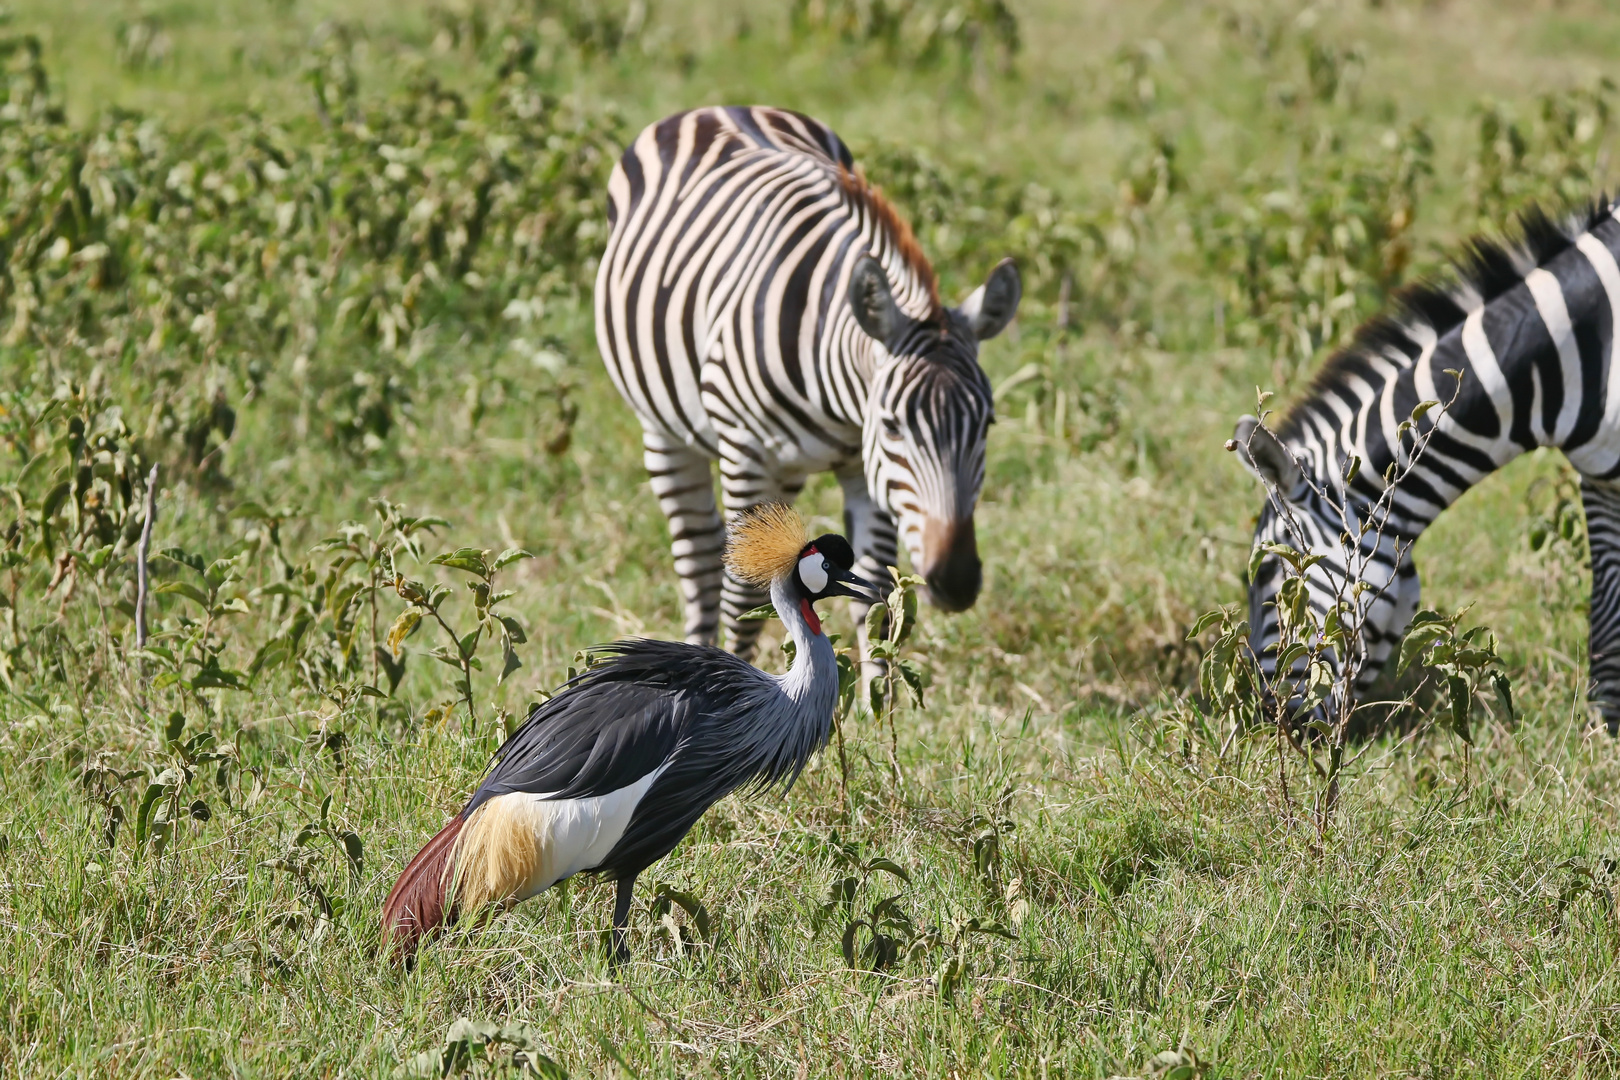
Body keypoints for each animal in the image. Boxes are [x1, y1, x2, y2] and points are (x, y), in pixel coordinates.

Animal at [596, 107, 1023, 660]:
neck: (842, 401)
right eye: (893, 426)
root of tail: (716, 107)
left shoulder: (866, 470)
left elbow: (875, 598)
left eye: (987, 425)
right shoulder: (746, 454)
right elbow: (743, 595)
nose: (956, 582)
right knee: (698, 557)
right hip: (663, 430)